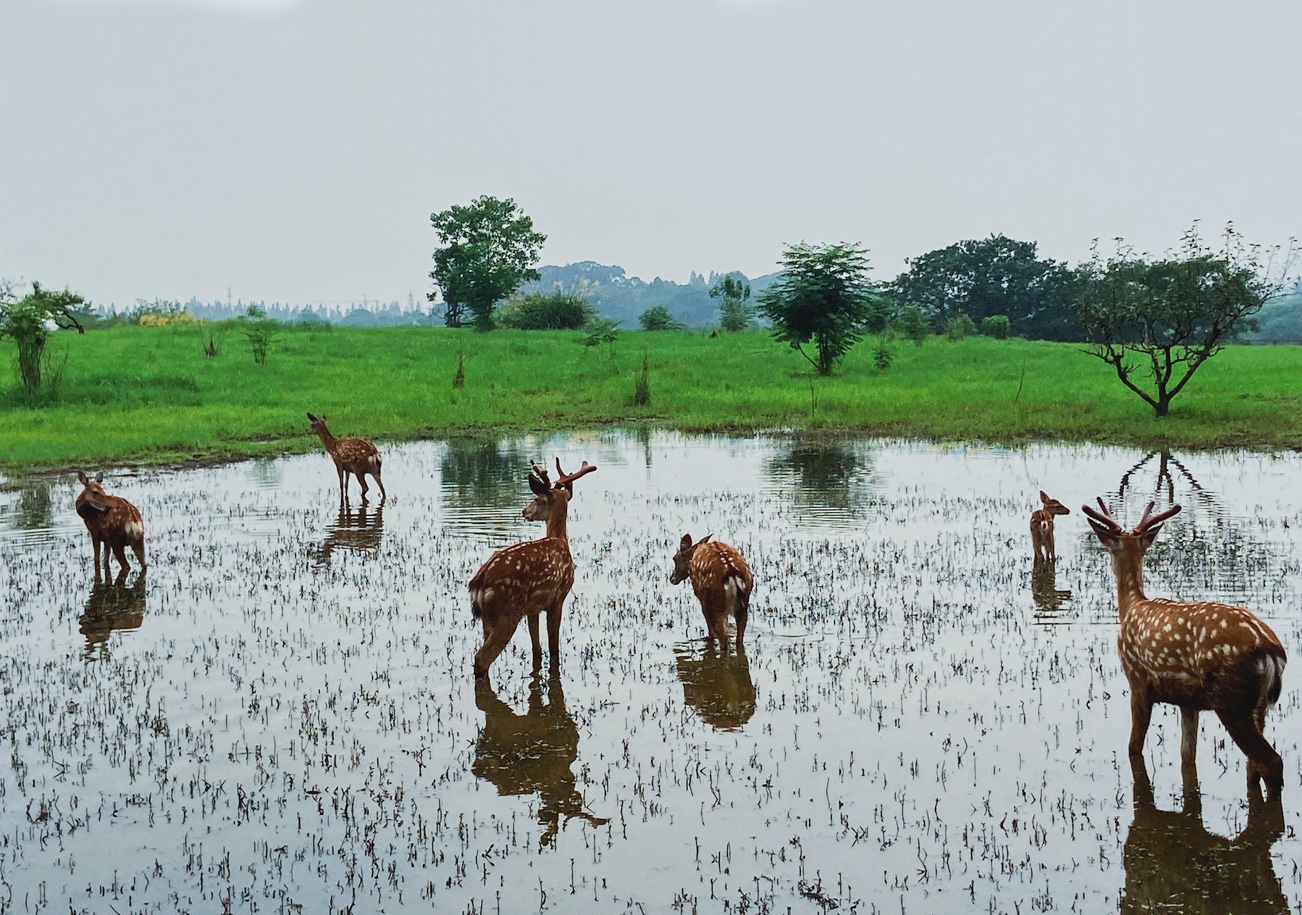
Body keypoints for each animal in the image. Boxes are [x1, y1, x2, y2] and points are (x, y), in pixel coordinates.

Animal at [468, 458, 596, 682]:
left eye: (536, 499)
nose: (524, 511)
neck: (560, 540)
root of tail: (480, 582)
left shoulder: (533, 609)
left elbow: (537, 650)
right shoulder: (558, 596)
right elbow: (553, 648)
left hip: (489, 619)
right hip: (507, 611)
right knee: (481, 658)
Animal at [1083, 497, 1286, 796]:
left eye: (1110, 550)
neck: (1131, 606)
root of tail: (1271, 653)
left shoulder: (1137, 678)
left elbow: (1133, 747)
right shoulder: (1188, 701)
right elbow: (1187, 757)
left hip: (1231, 699)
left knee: (1270, 762)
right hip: (1258, 707)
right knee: (1254, 765)